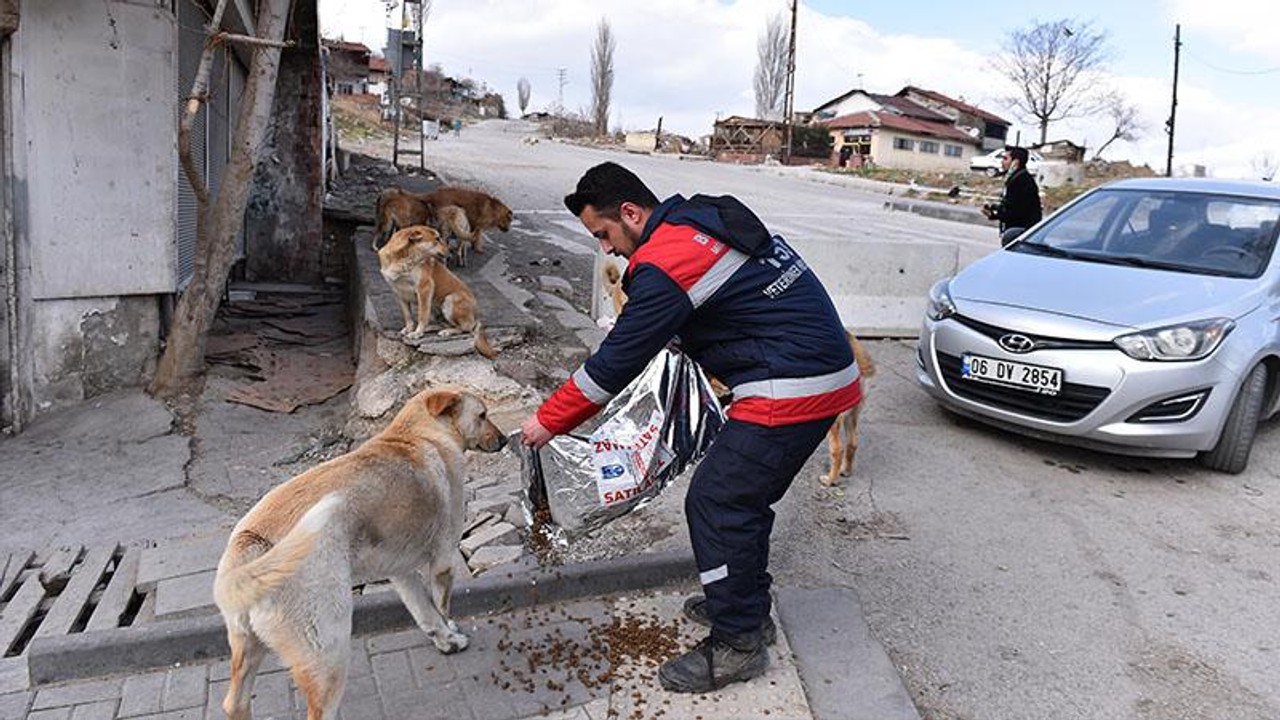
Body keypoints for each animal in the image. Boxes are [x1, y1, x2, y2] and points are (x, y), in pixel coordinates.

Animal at [212, 386, 506, 717]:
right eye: (482, 415)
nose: (505, 440)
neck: (421, 433)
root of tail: (251, 544)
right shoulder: (443, 560)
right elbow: (441, 608)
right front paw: (452, 632)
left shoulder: (401, 572)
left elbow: (425, 612)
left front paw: (445, 641)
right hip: (331, 646)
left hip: (249, 646)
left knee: (234, 703)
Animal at [376, 224, 496, 358]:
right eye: (437, 239)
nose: (451, 251)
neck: (403, 258)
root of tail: (476, 316)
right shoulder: (399, 293)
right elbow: (407, 315)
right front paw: (409, 328)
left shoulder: (425, 289)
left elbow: (422, 315)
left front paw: (417, 333)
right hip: (434, 305)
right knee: (442, 322)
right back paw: (431, 328)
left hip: (450, 299)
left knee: (465, 327)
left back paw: (446, 331)